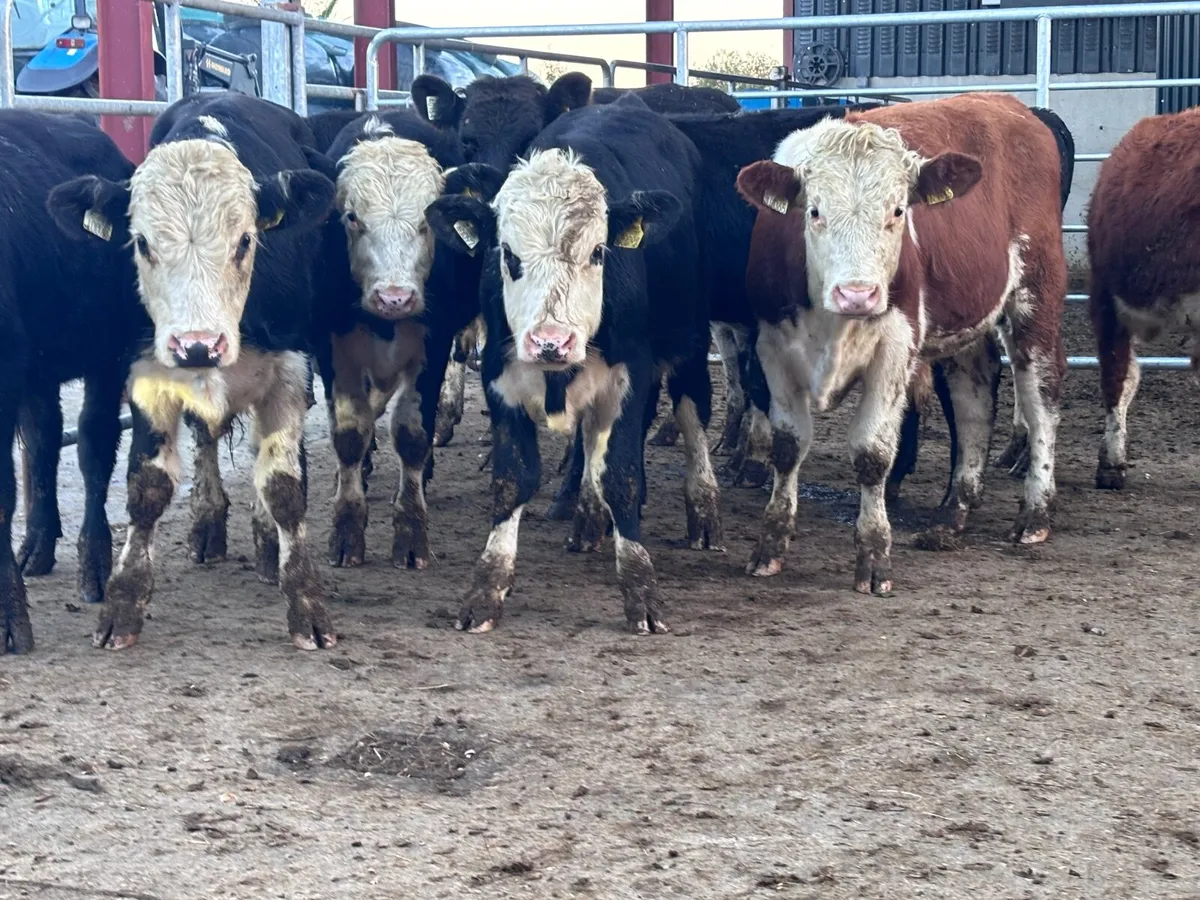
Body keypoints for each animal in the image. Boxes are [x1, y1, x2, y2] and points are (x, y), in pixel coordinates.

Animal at [0, 111, 141, 654]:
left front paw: (10, 622)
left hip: (109, 350)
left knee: (94, 443)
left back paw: (94, 567)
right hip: (39, 366)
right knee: (42, 439)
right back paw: (37, 547)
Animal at [48, 93, 337, 651]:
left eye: (245, 240)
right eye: (141, 243)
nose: (198, 345)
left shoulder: (292, 371)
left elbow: (284, 489)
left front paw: (307, 603)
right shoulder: (148, 372)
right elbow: (148, 488)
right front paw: (122, 605)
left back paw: (265, 544)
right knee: (205, 435)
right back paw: (208, 522)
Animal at [312, 110, 488, 570]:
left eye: (426, 221)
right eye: (352, 217)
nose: (396, 297)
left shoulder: (433, 344)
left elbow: (411, 434)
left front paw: (411, 535)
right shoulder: (331, 347)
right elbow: (350, 433)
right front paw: (346, 532)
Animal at [426, 94, 719, 634]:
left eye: (599, 251)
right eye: (507, 254)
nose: (551, 342)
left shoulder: (630, 373)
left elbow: (621, 474)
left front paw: (641, 590)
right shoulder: (500, 377)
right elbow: (514, 478)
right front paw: (486, 588)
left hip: (688, 337)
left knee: (692, 414)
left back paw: (704, 509)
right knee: (590, 440)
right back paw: (584, 513)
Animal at [735, 92, 1067, 593]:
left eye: (897, 211)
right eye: (814, 212)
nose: (857, 294)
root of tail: (1010, 105)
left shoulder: (896, 345)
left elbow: (872, 453)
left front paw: (874, 556)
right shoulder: (772, 346)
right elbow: (788, 446)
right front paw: (770, 546)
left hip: (1036, 294)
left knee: (1039, 400)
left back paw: (1035, 514)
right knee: (973, 400)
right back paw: (953, 514)